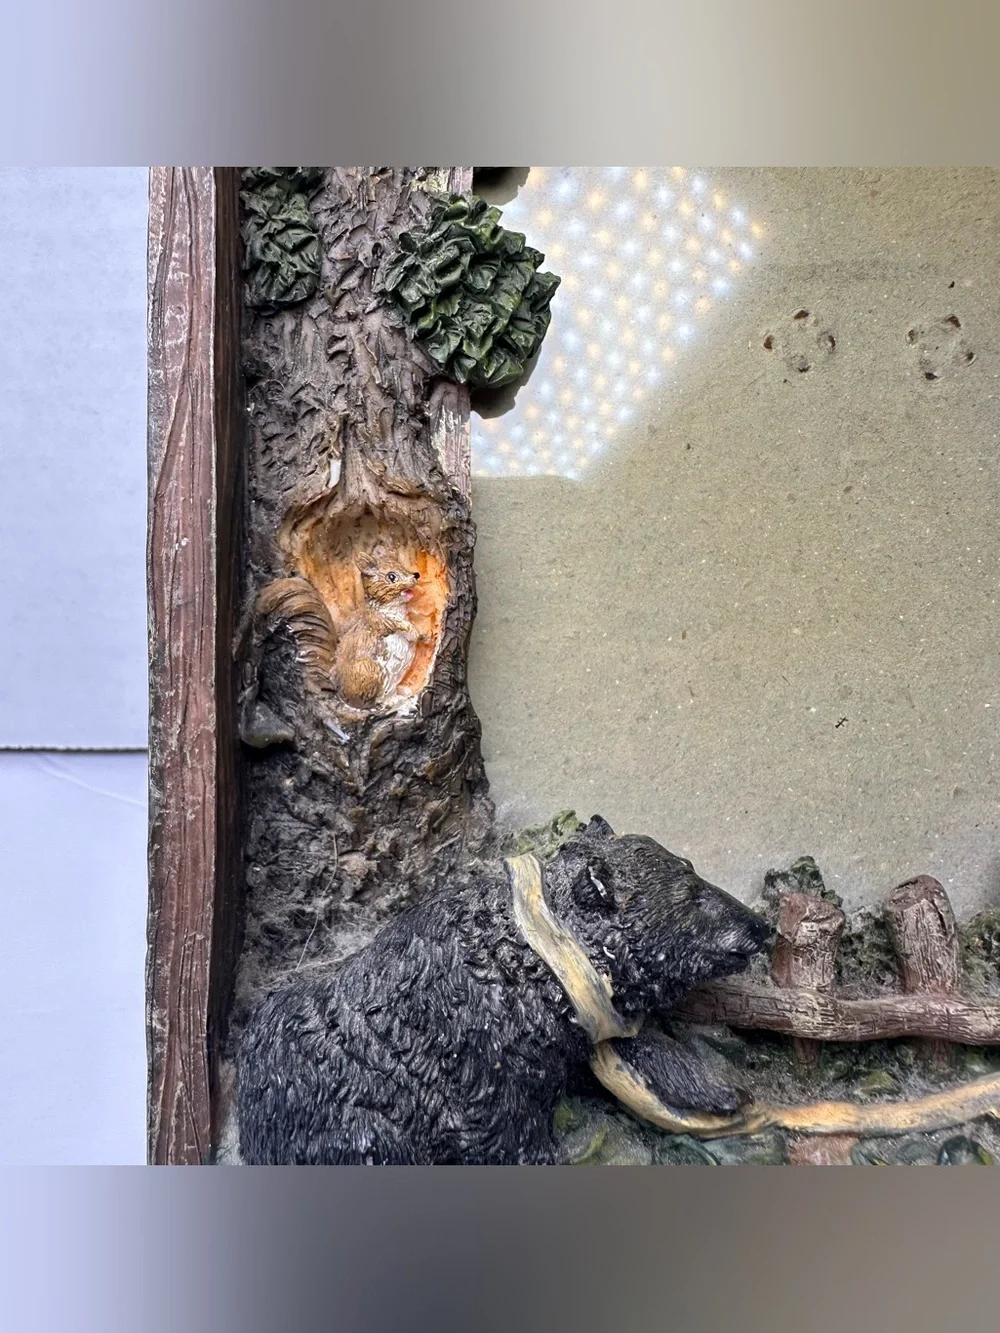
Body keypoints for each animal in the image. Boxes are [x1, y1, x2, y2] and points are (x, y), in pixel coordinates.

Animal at [237, 816, 772, 1165]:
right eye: (692, 894)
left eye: (692, 867)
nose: (762, 926)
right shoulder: (484, 1073)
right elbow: (506, 1135)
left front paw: (721, 1092)